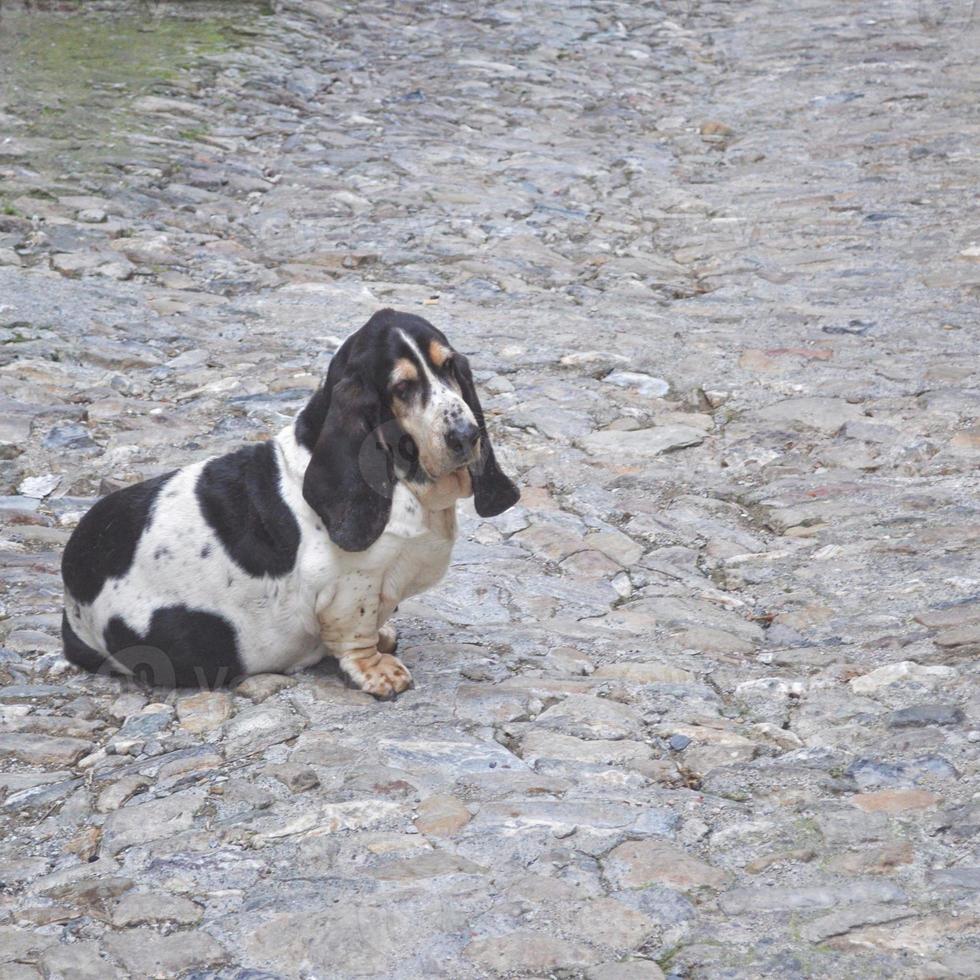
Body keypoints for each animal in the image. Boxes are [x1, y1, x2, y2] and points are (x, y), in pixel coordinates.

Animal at [61, 308, 520, 696]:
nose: (466, 436)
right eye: (402, 388)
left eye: (449, 367)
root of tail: (70, 605)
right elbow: (356, 632)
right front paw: (378, 671)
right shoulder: (352, 586)